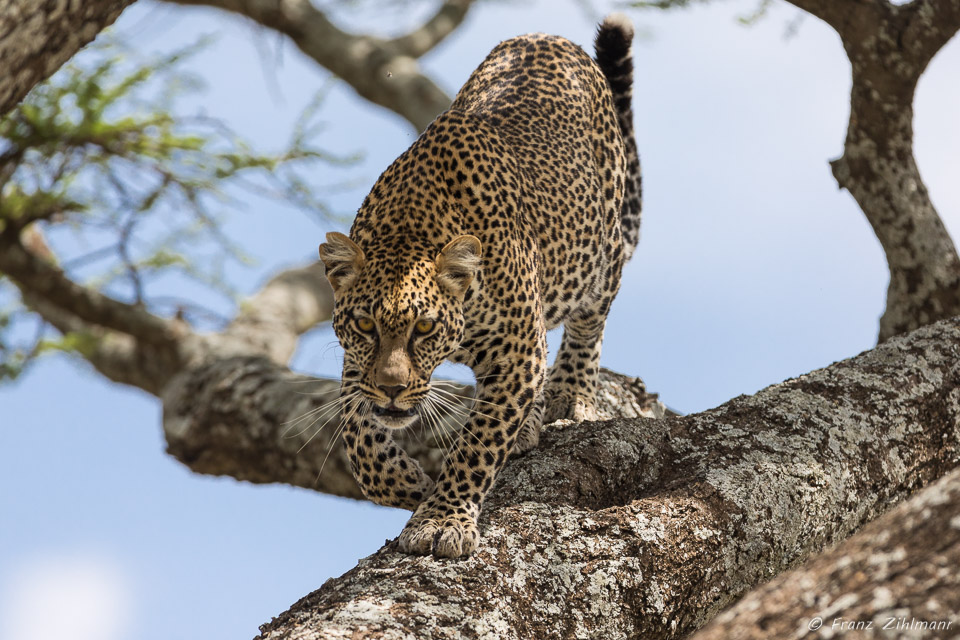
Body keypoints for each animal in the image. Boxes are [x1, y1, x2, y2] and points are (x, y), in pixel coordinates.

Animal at [318, 12, 640, 556]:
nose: (392, 390)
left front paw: (442, 517)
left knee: (591, 316)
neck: (408, 227)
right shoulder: (357, 363)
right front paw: (407, 484)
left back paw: (570, 393)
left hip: (603, 244)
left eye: (425, 328)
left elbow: (478, 442)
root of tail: (546, 34)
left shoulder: (517, 349)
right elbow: (359, 437)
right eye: (364, 324)